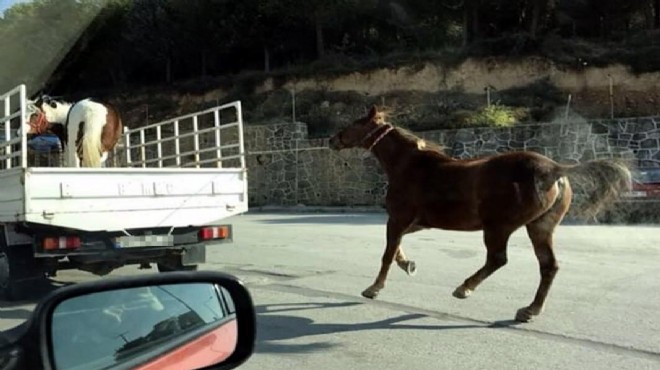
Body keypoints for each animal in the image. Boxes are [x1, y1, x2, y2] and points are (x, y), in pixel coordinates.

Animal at [328, 105, 632, 322]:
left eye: (353, 124)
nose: (332, 139)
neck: (410, 166)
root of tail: (555, 169)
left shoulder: (398, 218)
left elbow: (388, 253)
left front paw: (374, 288)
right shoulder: (417, 222)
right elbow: (398, 248)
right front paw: (409, 265)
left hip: (498, 227)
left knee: (498, 259)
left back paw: (464, 288)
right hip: (539, 227)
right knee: (548, 266)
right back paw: (529, 311)